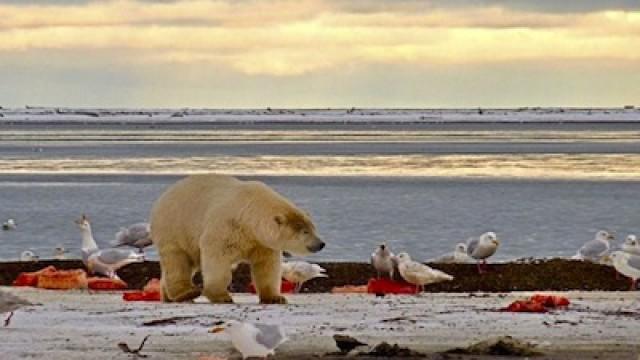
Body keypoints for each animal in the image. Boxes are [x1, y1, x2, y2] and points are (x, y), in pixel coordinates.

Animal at [150, 174, 324, 304]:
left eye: (313, 228)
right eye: (304, 231)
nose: (321, 244)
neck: (249, 215)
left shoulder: (261, 242)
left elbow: (267, 267)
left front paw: (275, 297)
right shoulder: (226, 228)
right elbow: (217, 260)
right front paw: (222, 296)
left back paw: (169, 296)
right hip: (176, 227)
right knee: (177, 261)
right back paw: (186, 293)